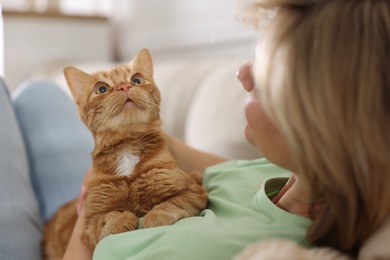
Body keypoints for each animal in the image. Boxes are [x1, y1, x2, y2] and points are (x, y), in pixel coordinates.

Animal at [42, 49, 207, 260]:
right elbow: (107, 217)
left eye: (136, 80)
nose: (125, 86)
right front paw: (121, 220)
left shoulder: (193, 189)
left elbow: (172, 203)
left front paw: (156, 215)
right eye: (101, 89)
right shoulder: (90, 220)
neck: (127, 149)